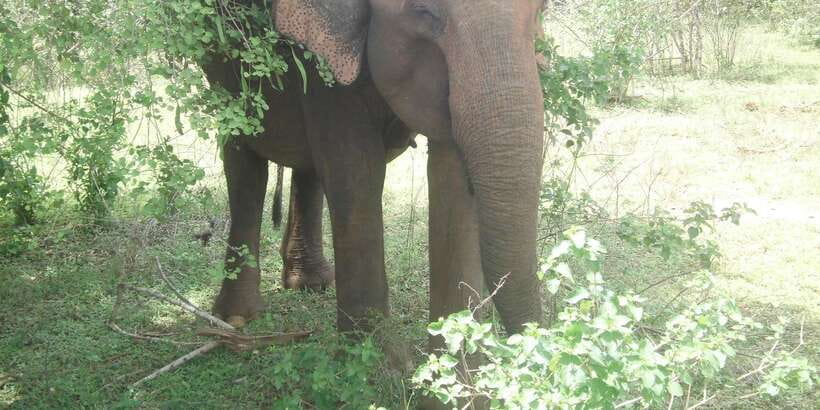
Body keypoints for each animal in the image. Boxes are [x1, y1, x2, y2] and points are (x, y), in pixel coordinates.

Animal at [204, 0, 547, 338]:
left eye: (540, 10)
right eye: (423, 11)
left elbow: (450, 178)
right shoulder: (326, 73)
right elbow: (356, 174)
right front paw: (372, 350)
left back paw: (310, 283)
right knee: (245, 168)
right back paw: (236, 317)